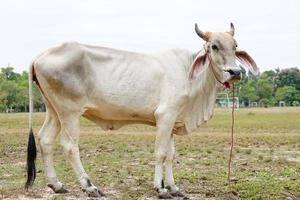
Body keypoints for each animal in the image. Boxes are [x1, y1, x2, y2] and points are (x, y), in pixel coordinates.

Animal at [25, 23, 258, 198]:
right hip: (70, 112)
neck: (190, 73)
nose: (235, 72)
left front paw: (174, 187)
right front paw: (161, 188)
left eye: (235, 46)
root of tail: (40, 56)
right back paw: (89, 186)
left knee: (45, 139)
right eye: (214, 46)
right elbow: (161, 152)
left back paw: (56, 184)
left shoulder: (173, 120)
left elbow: (171, 155)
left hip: (53, 110)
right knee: (69, 145)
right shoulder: (165, 115)